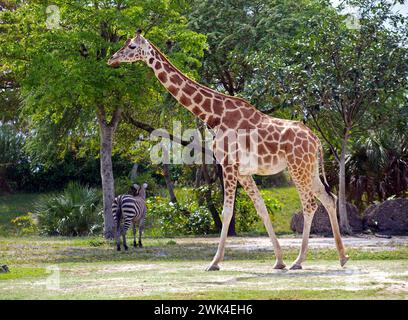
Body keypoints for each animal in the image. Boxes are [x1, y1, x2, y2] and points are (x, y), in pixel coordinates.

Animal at [107, 30, 348, 270]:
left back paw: (299, 261)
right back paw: (342, 257)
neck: (214, 115)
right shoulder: (243, 171)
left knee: (310, 204)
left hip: (297, 167)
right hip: (309, 168)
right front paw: (279, 260)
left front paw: (214, 262)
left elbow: (227, 212)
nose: (111, 59)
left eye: (131, 46)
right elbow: (261, 208)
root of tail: (316, 139)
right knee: (329, 198)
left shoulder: (228, 165)